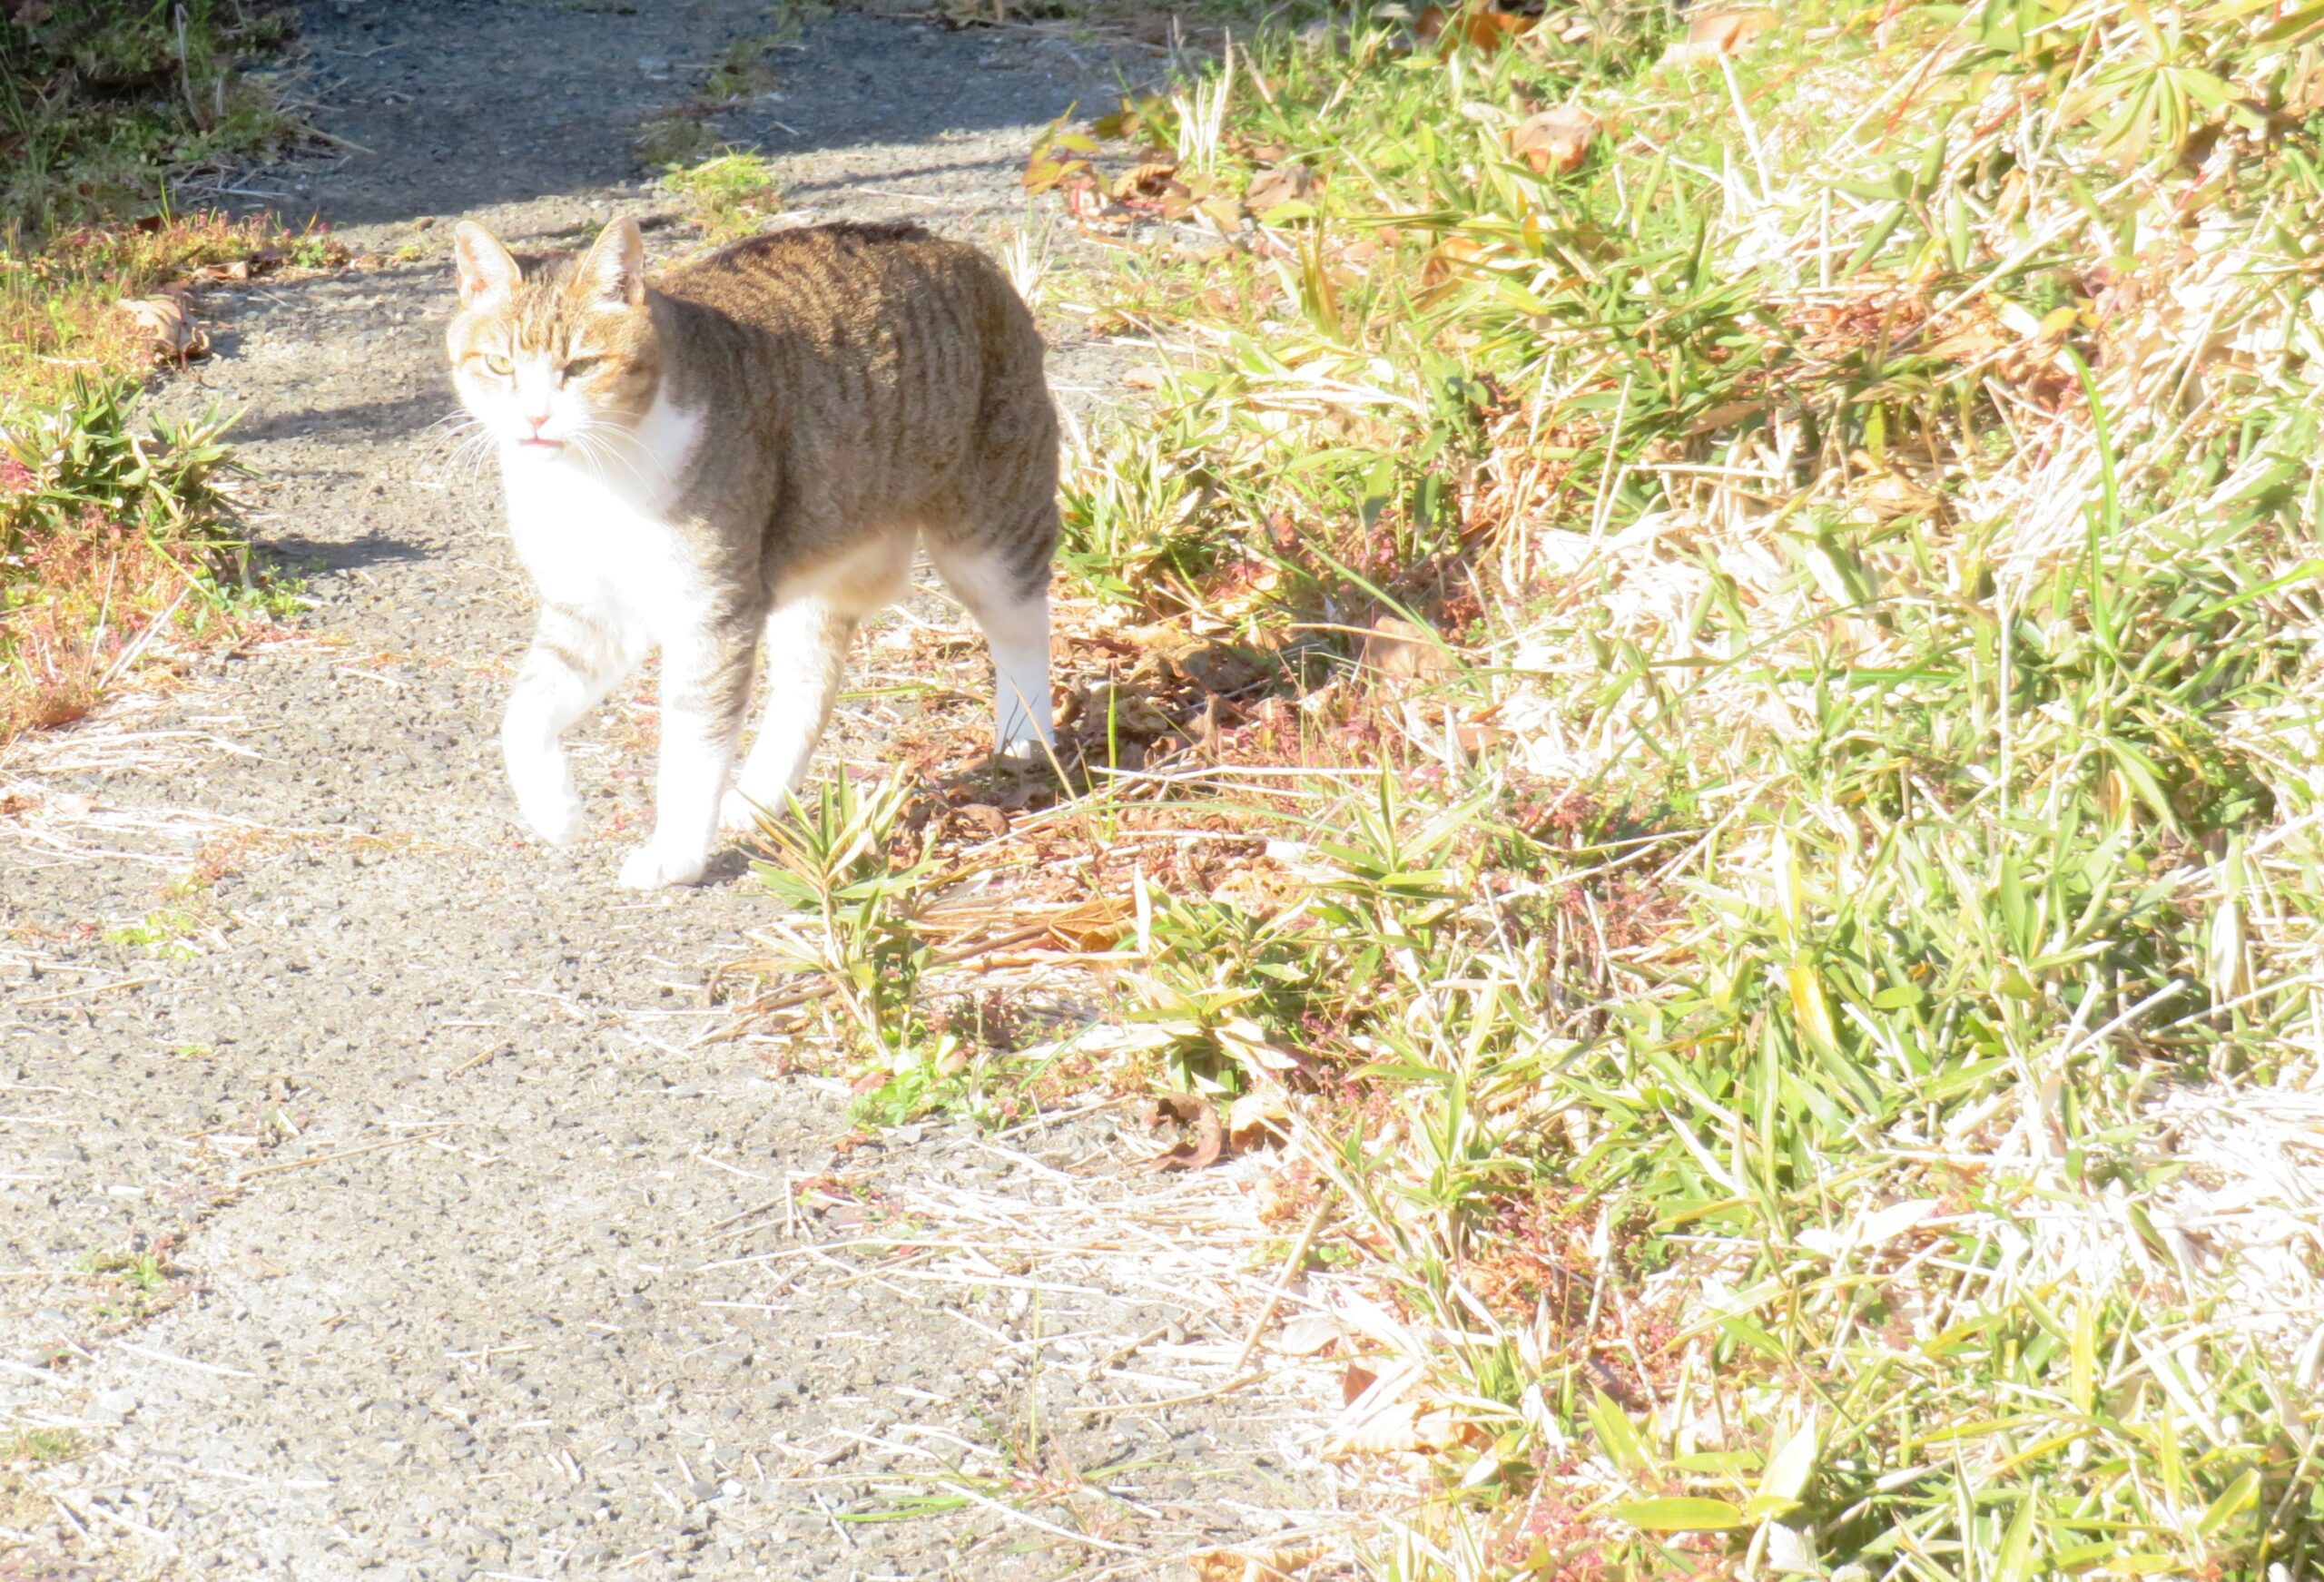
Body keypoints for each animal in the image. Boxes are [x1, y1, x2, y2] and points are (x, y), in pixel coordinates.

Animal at [446, 217, 1064, 887]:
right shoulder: (590, 607)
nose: (534, 419)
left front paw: (675, 854)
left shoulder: (711, 610)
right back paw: (759, 797)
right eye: (499, 364)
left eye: (581, 366)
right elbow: (525, 712)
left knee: (1023, 628)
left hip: (990, 529)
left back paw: (1026, 739)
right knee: (809, 684)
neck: (590, 477)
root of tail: (960, 250)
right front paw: (556, 812)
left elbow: (692, 747)